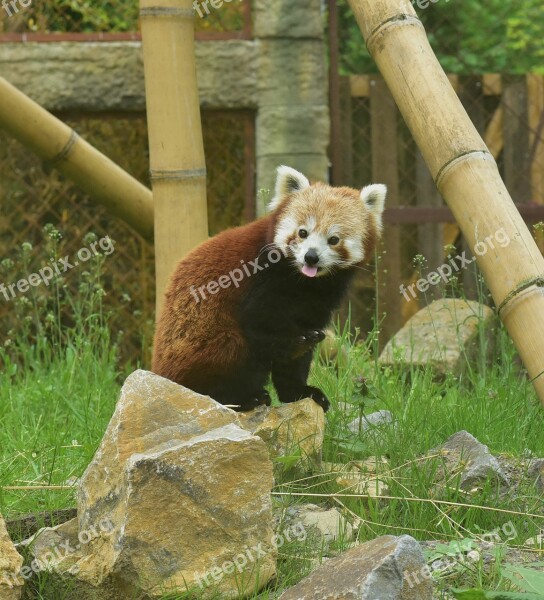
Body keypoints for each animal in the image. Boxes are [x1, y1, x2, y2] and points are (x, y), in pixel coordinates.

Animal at [151, 166, 384, 414]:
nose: (311, 256)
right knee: (231, 349)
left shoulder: (320, 299)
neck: (304, 281)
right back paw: (241, 398)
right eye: (303, 232)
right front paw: (296, 344)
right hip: (200, 344)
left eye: (333, 239)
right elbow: (259, 322)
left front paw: (298, 391)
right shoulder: (261, 277)